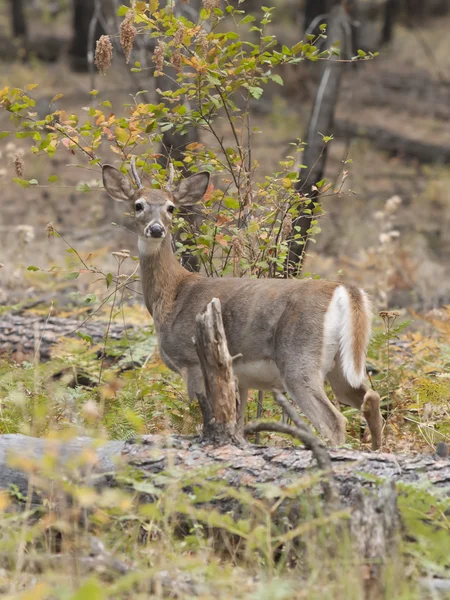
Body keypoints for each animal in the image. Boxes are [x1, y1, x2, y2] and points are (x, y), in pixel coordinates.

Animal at [102, 162, 384, 448]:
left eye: (171, 207)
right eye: (138, 205)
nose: (157, 229)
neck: (172, 295)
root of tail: (345, 290)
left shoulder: (190, 362)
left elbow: (193, 418)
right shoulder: (241, 378)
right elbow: (237, 424)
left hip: (299, 358)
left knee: (334, 420)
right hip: (340, 366)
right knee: (371, 398)